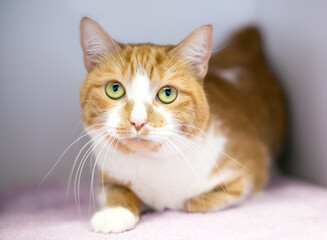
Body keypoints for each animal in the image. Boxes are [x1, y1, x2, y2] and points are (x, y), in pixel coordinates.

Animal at [79, 17, 288, 234]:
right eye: (115, 89)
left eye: (167, 93)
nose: (138, 121)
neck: (154, 165)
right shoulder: (107, 175)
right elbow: (117, 190)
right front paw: (114, 212)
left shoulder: (247, 166)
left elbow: (195, 201)